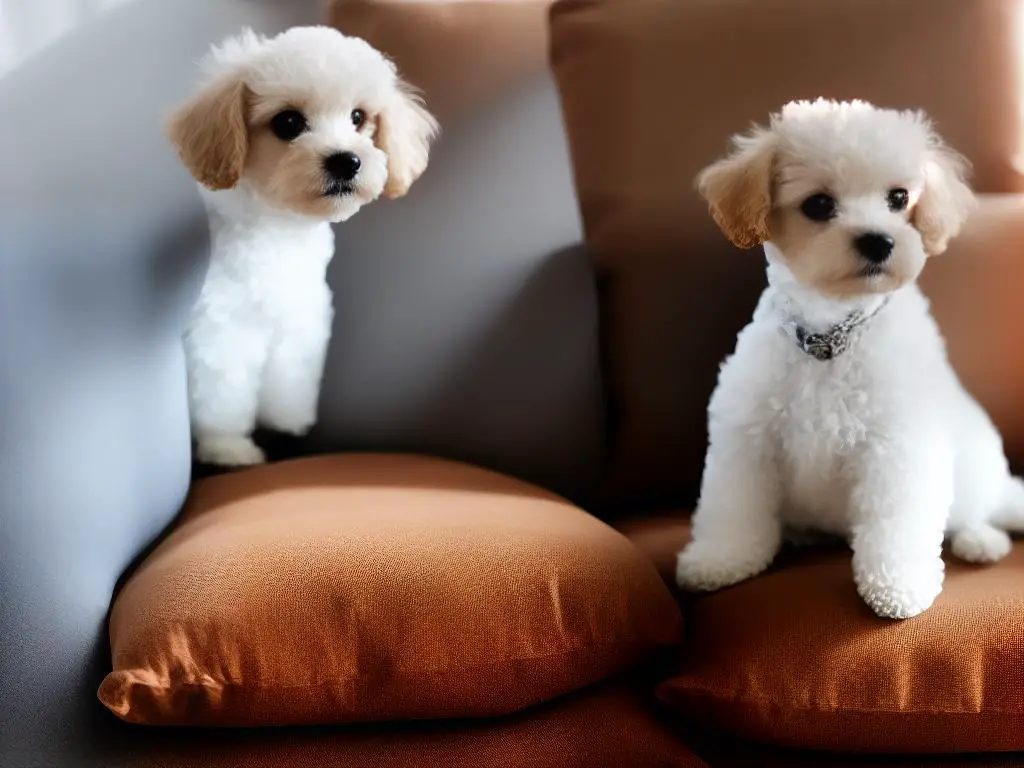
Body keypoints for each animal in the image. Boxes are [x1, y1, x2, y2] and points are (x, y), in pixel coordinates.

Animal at [168, 24, 440, 466]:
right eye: (288, 122)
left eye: (358, 117)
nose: (347, 161)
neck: (281, 229)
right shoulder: (222, 331)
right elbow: (223, 397)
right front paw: (229, 448)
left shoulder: (301, 322)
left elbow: (291, 381)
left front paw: (287, 421)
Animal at [675, 99, 1019, 622]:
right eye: (818, 205)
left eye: (899, 197)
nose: (879, 240)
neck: (831, 333)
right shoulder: (747, 435)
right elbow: (732, 507)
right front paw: (720, 561)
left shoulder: (898, 445)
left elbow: (898, 522)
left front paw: (898, 586)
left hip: (974, 469)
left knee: (973, 511)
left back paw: (982, 539)